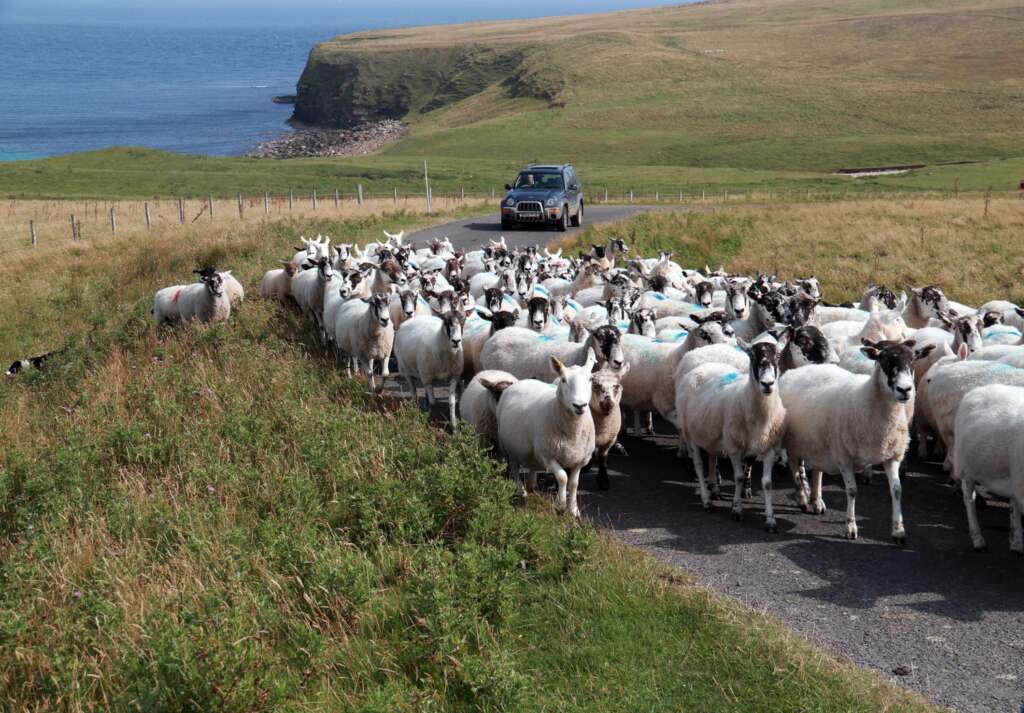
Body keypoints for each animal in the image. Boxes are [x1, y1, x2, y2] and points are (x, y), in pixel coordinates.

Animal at [491, 350, 598, 512]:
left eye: (591, 379)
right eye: (563, 379)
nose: (579, 405)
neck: (573, 431)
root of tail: (521, 381)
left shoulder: (580, 460)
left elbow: (574, 484)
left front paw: (573, 510)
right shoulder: (547, 455)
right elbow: (562, 477)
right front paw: (560, 505)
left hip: (531, 453)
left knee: (531, 466)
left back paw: (530, 486)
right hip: (509, 447)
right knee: (515, 469)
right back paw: (521, 492)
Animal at [774, 340, 937, 540]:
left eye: (913, 359)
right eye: (883, 360)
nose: (905, 390)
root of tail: (794, 371)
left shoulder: (891, 456)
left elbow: (897, 491)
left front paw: (898, 531)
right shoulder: (844, 458)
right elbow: (852, 491)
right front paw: (850, 527)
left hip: (819, 443)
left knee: (817, 471)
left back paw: (817, 500)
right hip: (794, 442)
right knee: (795, 469)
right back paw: (803, 499)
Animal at [950, 387, 1024, 553]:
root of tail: (979, 389)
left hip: (1011, 473)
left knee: (1013, 504)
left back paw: (1016, 543)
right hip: (966, 468)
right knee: (969, 500)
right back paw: (978, 540)